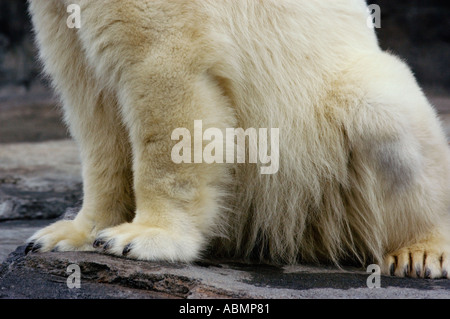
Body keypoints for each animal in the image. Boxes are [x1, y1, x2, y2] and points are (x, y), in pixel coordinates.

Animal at [26, 0, 448, 278]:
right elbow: (92, 107)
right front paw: (68, 235)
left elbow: (168, 78)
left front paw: (142, 237)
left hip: (329, 133)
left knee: (386, 117)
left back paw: (419, 252)